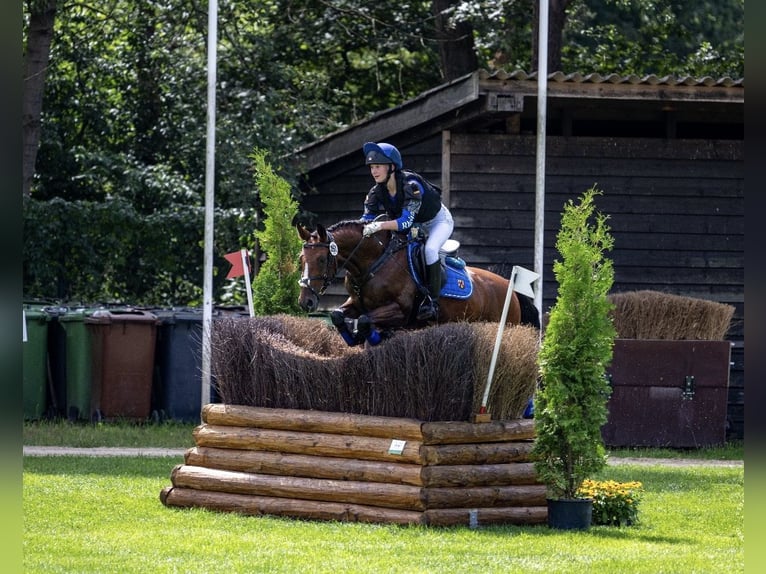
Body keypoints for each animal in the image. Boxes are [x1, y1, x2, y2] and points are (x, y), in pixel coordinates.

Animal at [296, 219, 540, 346]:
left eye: (321, 259)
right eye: (301, 259)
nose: (305, 302)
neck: (375, 263)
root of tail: (511, 288)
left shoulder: (399, 310)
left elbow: (365, 320)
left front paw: (369, 335)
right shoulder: (356, 304)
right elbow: (338, 315)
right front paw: (355, 337)